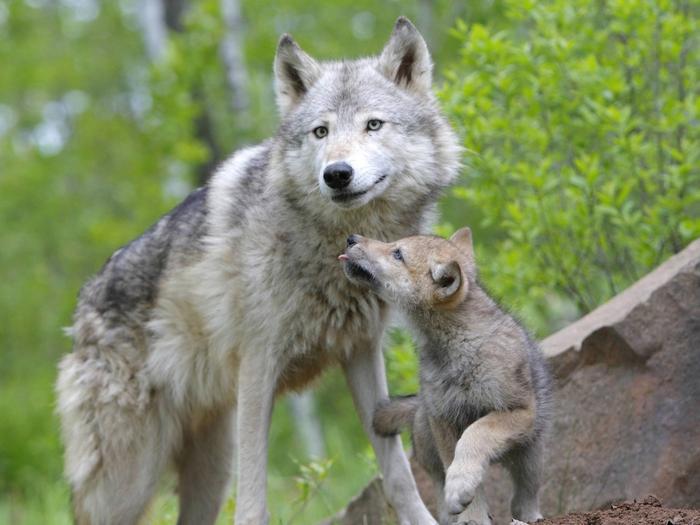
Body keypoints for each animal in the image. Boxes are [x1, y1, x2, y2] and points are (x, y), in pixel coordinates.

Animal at [55, 17, 461, 525]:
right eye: (320, 131)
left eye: (373, 125)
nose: (337, 174)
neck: (333, 247)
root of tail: (82, 308)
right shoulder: (258, 368)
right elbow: (253, 501)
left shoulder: (362, 353)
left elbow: (398, 475)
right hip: (128, 480)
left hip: (209, 467)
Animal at [339, 228, 552, 525]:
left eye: (397, 253)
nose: (351, 238)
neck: (457, 346)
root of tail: (418, 406)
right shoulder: (444, 419)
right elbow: (457, 464)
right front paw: (471, 515)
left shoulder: (518, 411)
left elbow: (476, 434)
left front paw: (461, 488)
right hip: (430, 447)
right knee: (440, 491)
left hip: (530, 455)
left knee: (524, 497)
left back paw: (528, 517)